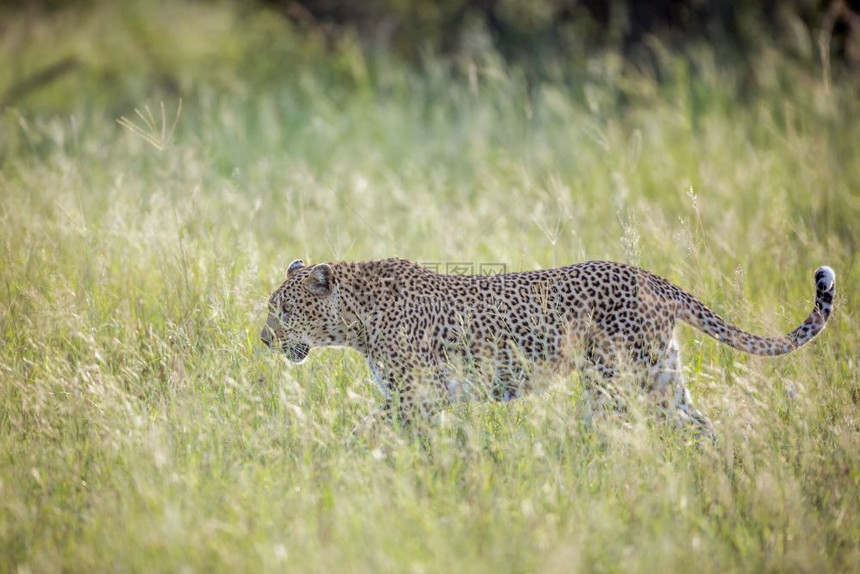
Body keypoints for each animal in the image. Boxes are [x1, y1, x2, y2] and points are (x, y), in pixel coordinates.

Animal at [260, 258, 832, 438]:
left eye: (282, 310)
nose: (264, 339)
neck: (354, 322)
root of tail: (650, 276)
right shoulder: (422, 401)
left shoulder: (413, 396)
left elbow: (365, 431)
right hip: (660, 377)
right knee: (699, 426)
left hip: (614, 381)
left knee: (619, 432)